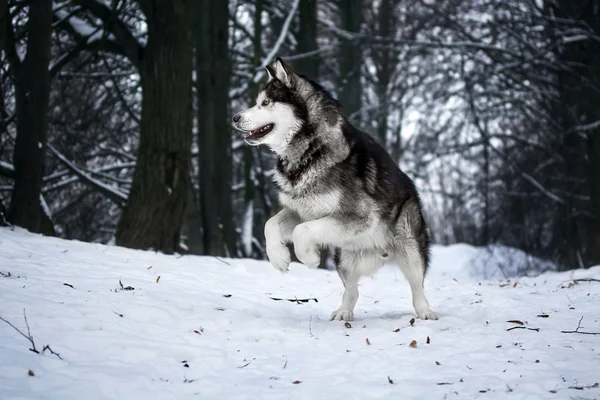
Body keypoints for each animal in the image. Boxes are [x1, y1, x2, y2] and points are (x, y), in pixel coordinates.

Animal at [233, 57, 436, 320]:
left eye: (265, 103)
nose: (235, 117)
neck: (310, 150)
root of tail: (381, 254)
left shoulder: (359, 216)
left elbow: (301, 231)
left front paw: (309, 258)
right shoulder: (302, 210)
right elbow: (271, 224)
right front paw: (279, 258)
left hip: (409, 245)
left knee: (417, 286)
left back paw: (425, 312)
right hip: (345, 258)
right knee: (352, 290)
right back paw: (343, 313)